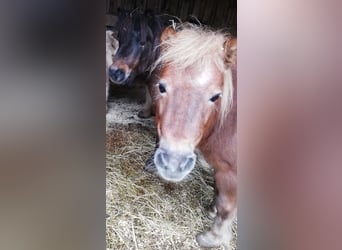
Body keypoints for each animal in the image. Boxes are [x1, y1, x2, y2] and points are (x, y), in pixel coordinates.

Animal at [153, 23, 238, 248]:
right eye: (161, 86)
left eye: (216, 96)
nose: (173, 163)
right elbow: (217, 192)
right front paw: (211, 209)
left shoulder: (231, 173)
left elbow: (227, 206)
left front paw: (213, 238)